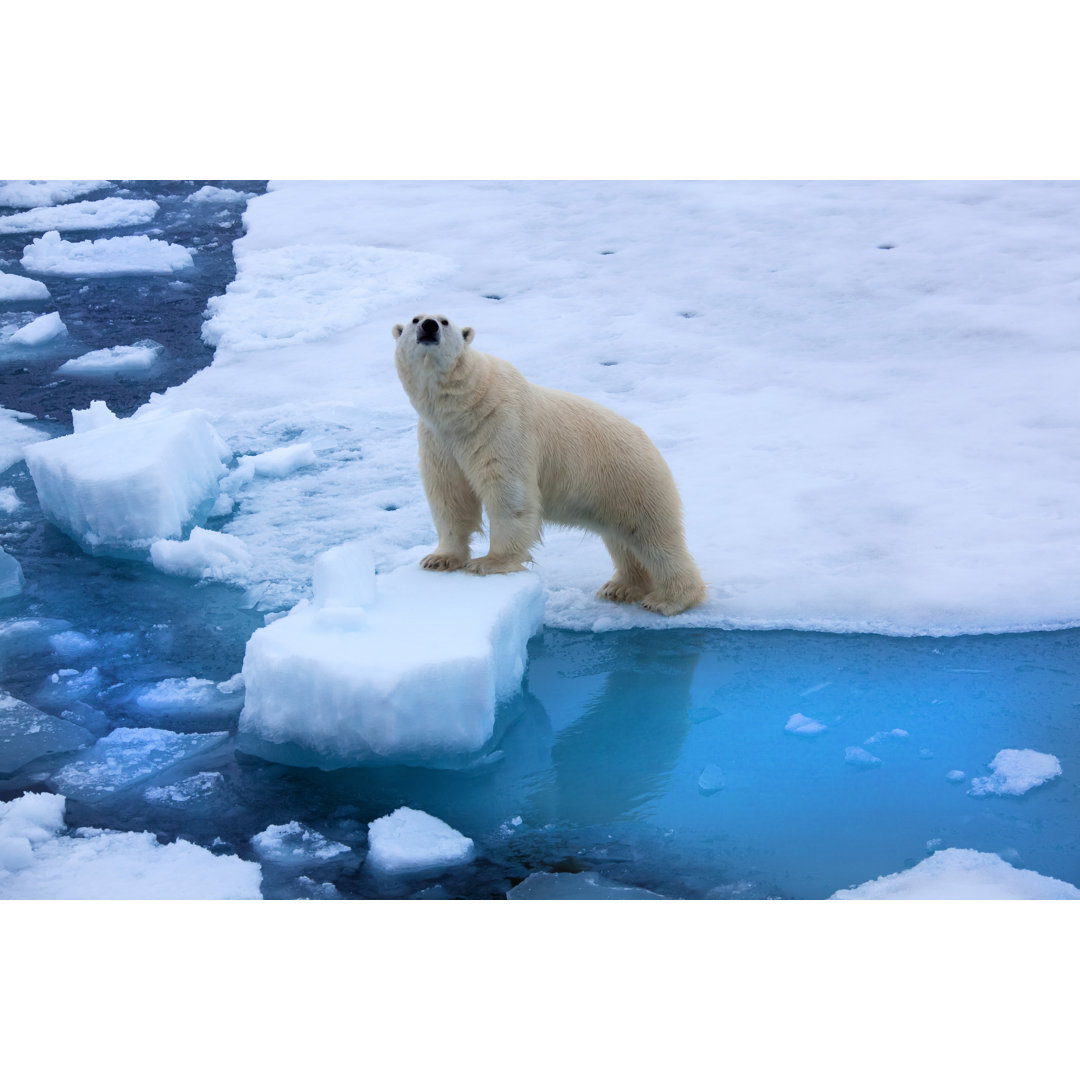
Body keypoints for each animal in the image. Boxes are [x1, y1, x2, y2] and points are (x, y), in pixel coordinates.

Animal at [393, 315, 704, 617]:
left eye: (445, 321)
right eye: (415, 319)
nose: (429, 326)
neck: (466, 406)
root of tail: (651, 444)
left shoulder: (502, 426)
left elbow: (508, 494)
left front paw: (489, 562)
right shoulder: (439, 440)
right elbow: (449, 495)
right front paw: (439, 559)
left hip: (632, 479)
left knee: (653, 538)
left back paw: (669, 600)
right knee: (622, 540)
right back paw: (621, 588)